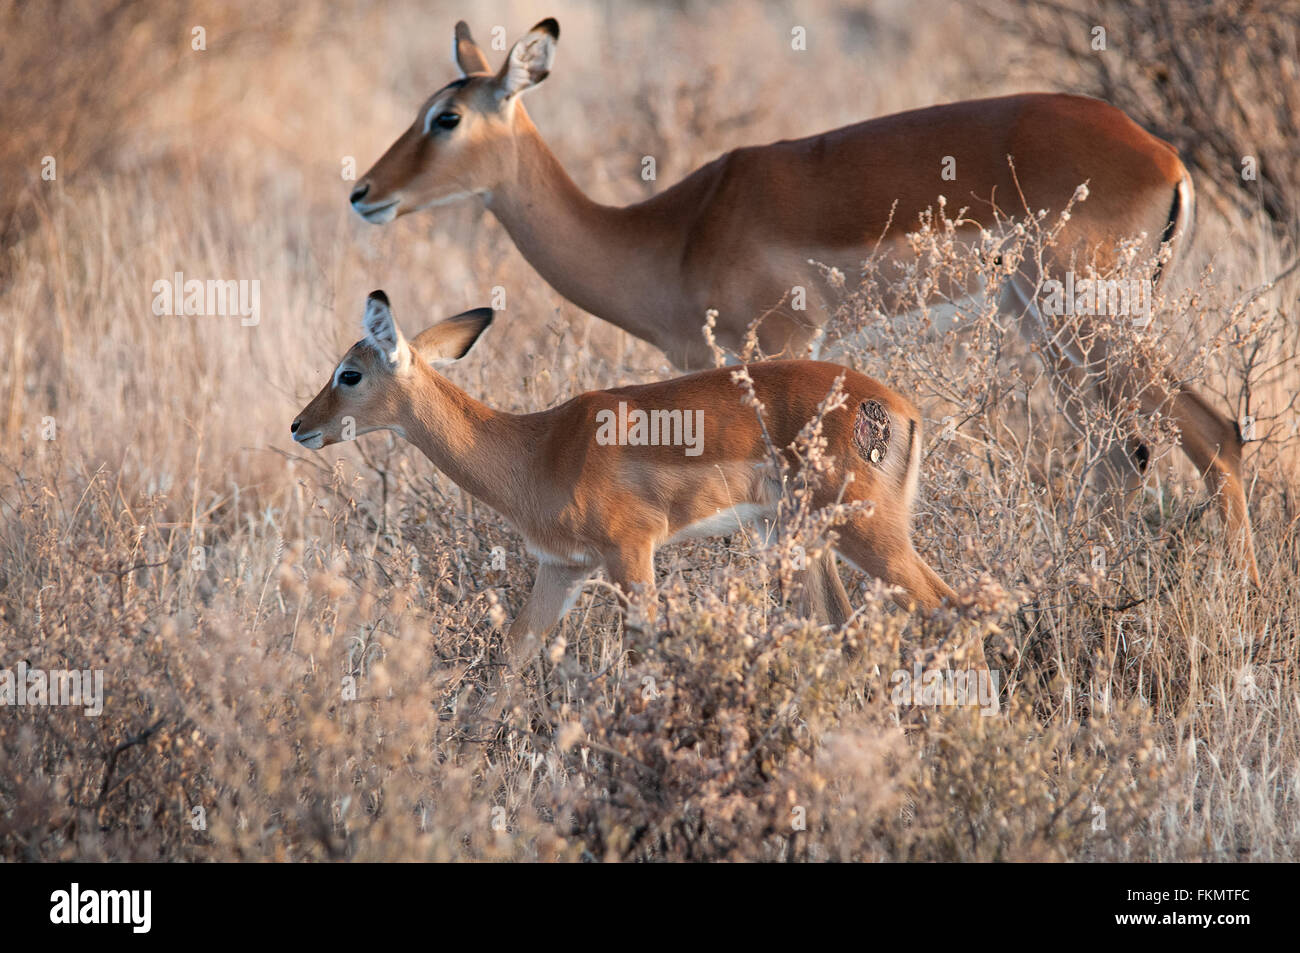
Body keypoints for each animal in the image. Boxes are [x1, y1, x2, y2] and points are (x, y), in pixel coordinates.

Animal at [292, 293, 956, 670]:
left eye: (349, 373)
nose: (300, 426)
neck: (539, 448)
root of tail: (900, 409)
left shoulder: (631, 551)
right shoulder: (562, 567)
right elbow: (510, 661)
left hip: (867, 536)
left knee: (950, 608)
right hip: (797, 538)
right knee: (844, 631)